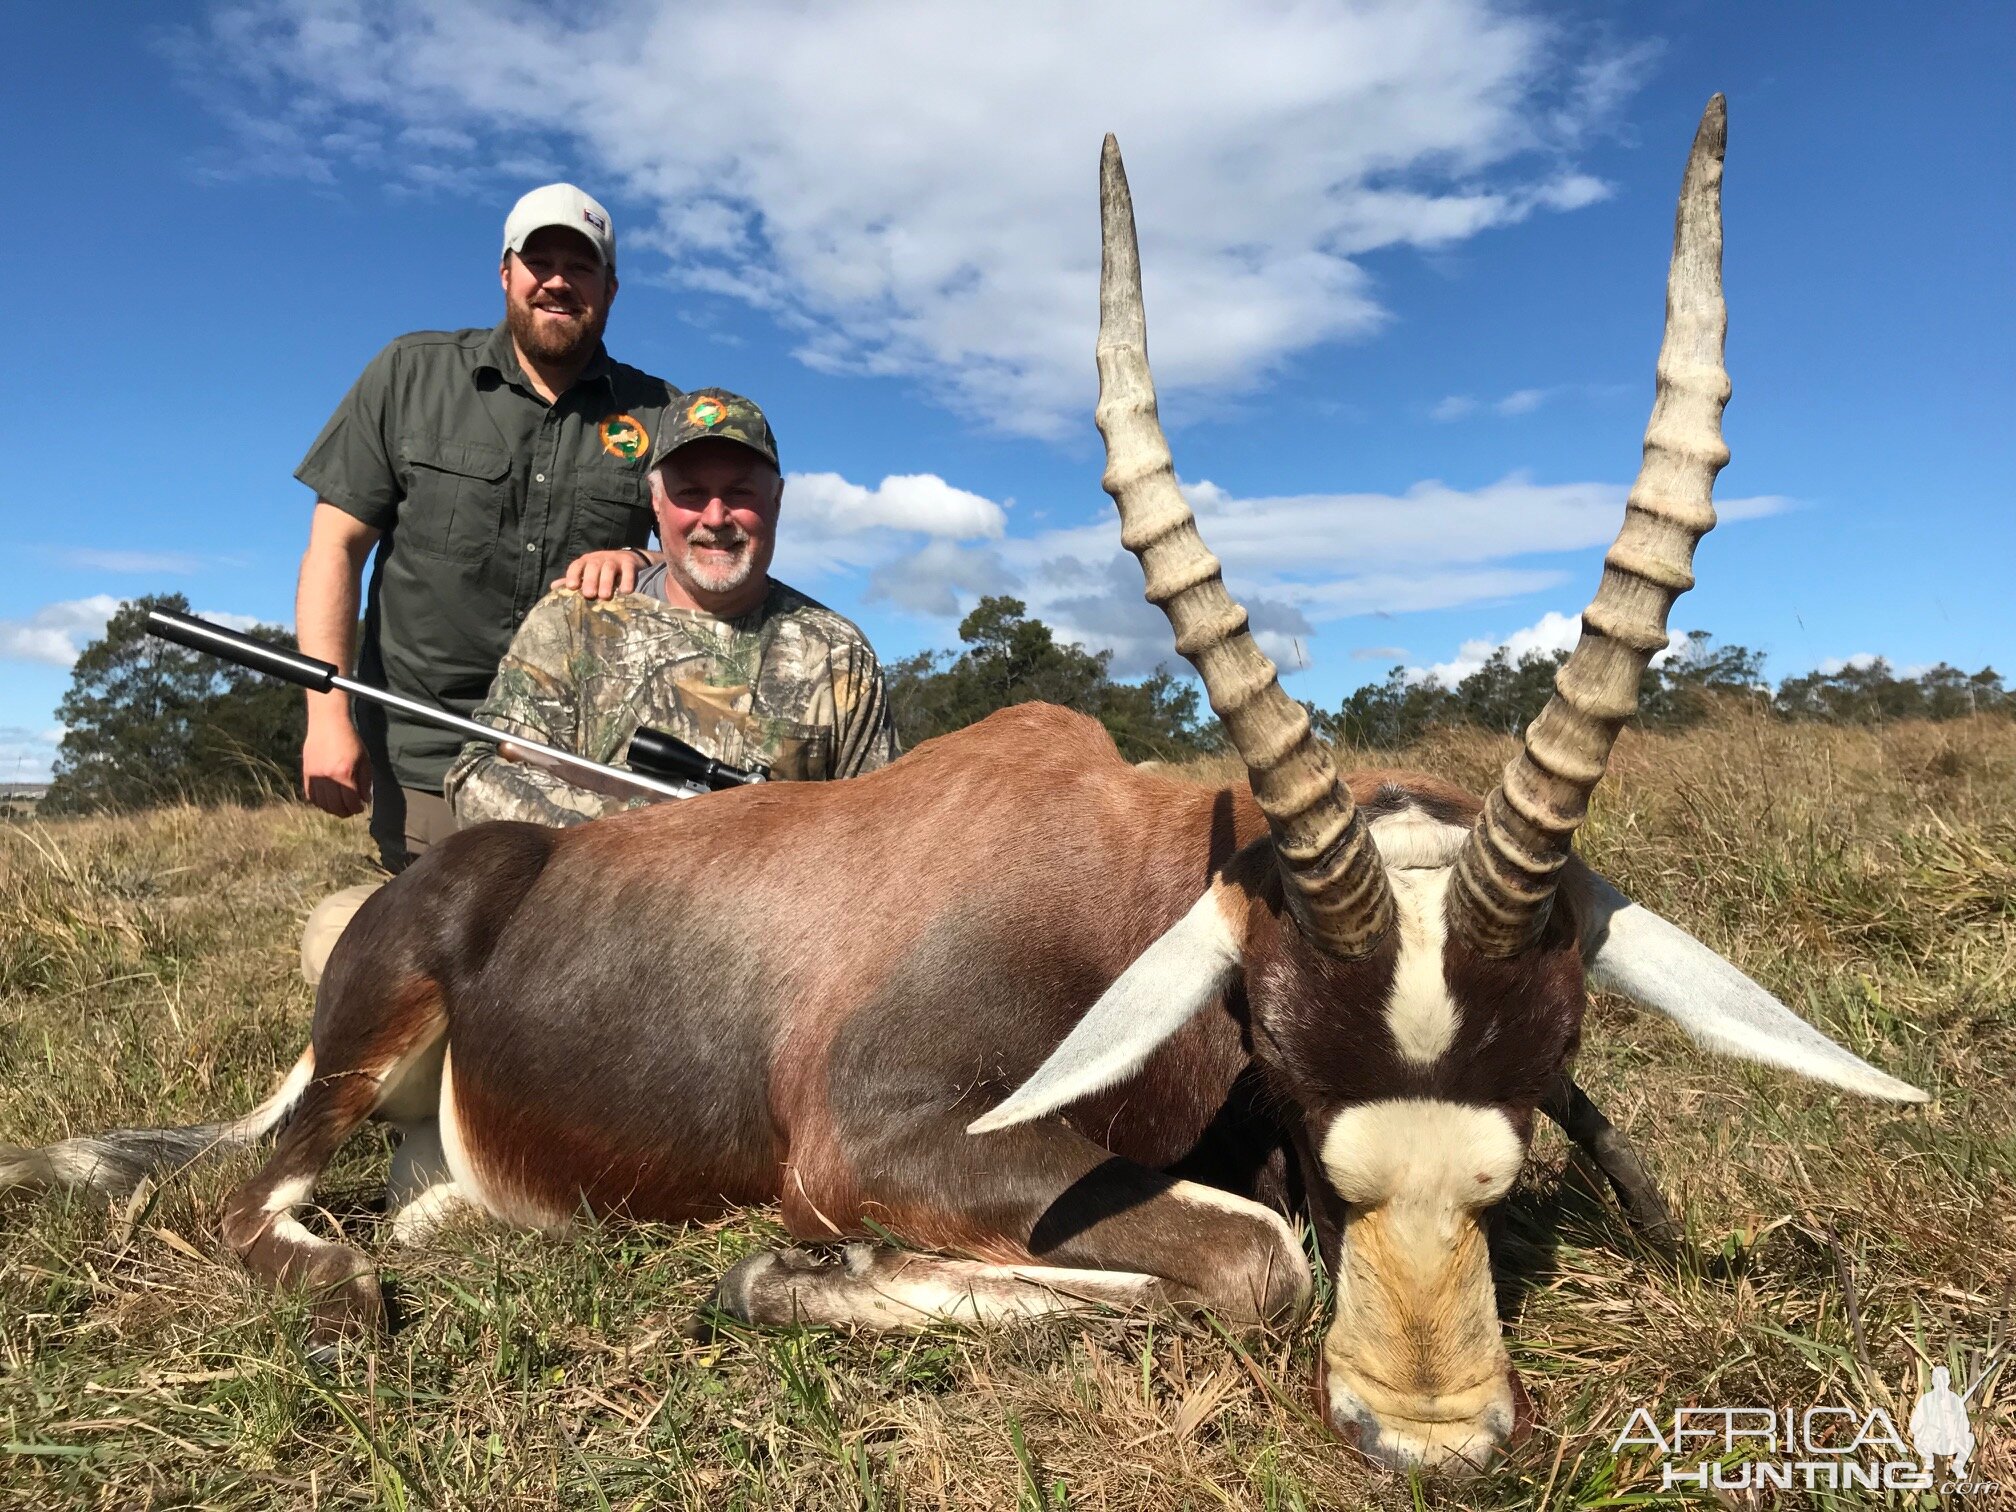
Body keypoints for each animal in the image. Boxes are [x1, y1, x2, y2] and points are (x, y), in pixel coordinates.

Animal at [0, 103, 1919, 1483]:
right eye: (1288, 1059)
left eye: (1542, 1086)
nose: (1429, 1441)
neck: (1114, 874)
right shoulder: (886, 1139)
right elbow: (1257, 1258)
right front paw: (796, 1270)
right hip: (363, 1037)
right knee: (242, 1203)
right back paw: (343, 1298)